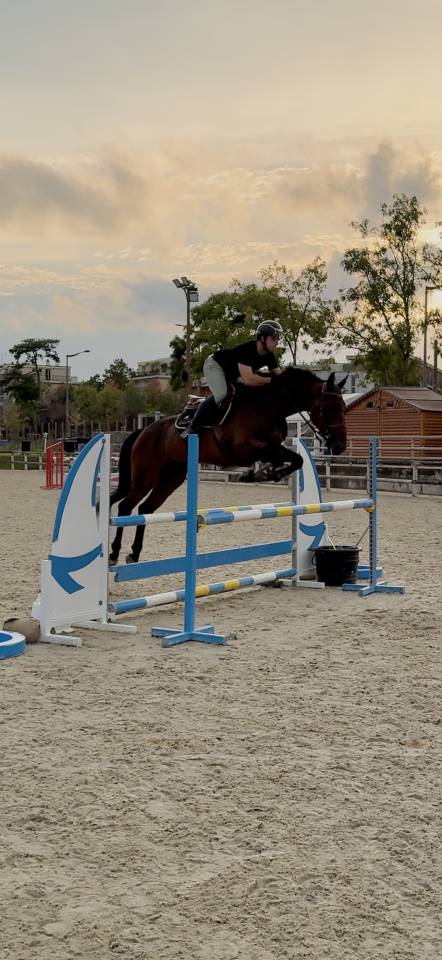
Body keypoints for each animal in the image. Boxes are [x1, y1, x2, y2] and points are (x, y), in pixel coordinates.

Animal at [109, 368, 347, 565]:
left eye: (344, 408)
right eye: (331, 408)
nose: (340, 446)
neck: (269, 406)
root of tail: (144, 430)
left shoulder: (271, 447)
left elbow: (294, 459)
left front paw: (264, 473)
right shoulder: (245, 448)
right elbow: (287, 458)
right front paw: (260, 474)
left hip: (171, 477)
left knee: (145, 509)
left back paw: (134, 553)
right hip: (145, 475)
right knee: (126, 506)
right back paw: (113, 553)